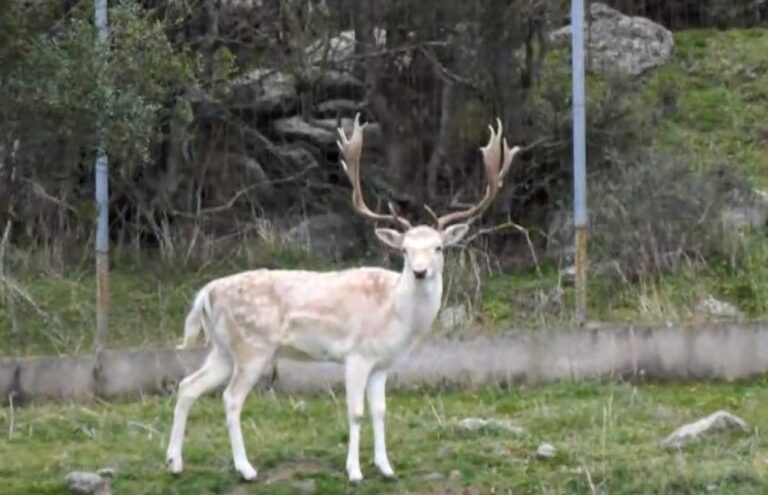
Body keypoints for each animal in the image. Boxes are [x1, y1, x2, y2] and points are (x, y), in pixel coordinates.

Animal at [165, 112, 520, 484]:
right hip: (252, 347)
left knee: (188, 385)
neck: (395, 315)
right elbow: (356, 413)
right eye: (405, 250)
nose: (420, 271)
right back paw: (245, 469)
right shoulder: (356, 355)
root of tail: (206, 293)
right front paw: (355, 472)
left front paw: (386, 468)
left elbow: (380, 411)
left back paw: (174, 462)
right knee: (230, 398)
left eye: (438, 247)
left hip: (223, 348)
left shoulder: (382, 364)